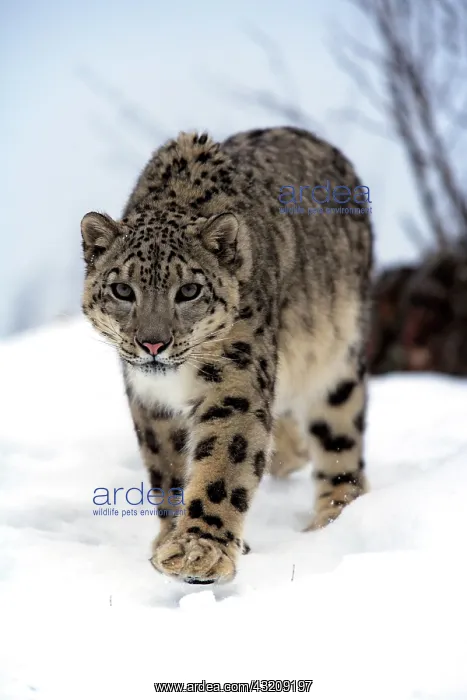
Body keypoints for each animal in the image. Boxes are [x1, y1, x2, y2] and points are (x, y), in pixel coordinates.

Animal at [81, 126, 373, 584]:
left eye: (189, 290)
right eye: (122, 290)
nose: (153, 343)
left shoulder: (235, 379)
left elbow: (223, 462)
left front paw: (201, 552)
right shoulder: (149, 400)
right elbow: (169, 469)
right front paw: (171, 540)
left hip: (336, 362)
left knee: (340, 444)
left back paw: (330, 523)